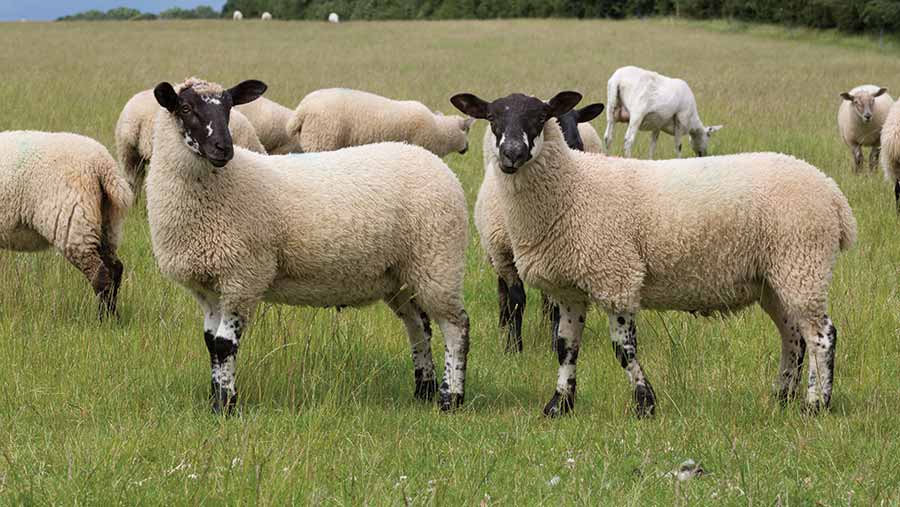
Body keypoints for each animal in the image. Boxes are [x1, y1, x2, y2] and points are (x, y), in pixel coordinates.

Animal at [0, 131, 132, 319]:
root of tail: (103, 165)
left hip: (74, 223)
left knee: (100, 275)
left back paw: (103, 320)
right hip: (106, 225)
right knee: (115, 269)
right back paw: (114, 316)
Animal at [476, 102, 604, 353]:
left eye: (577, 138)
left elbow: (556, 302)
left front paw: (555, 343)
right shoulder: (504, 253)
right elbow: (516, 300)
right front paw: (513, 348)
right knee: (503, 293)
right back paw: (503, 326)